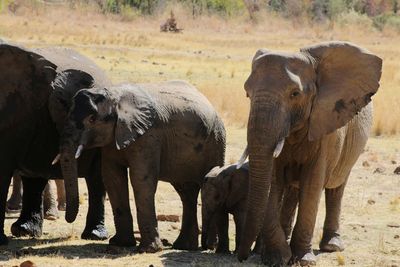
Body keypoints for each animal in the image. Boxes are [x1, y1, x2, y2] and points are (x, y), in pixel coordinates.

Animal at [57, 81, 227, 253]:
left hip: (216, 142)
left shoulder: (148, 136)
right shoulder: (113, 139)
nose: (68, 219)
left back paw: (208, 247)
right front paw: (120, 243)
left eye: (92, 119)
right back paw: (184, 247)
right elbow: (113, 179)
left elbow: (141, 179)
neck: (115, 95)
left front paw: (149, 249)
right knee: (186, 192)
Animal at [236, 41, 382, 266]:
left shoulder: (327, 124)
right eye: (247, 94)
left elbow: (313, 182)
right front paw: (276, 258)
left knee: (336, 187)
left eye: (295, 94)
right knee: (292, 190)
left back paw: (332, 246)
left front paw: (303, 259)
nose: (241, 256)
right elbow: (274, 181)